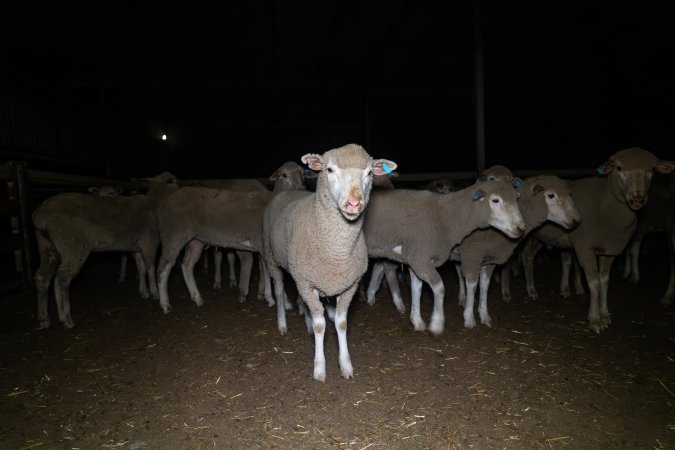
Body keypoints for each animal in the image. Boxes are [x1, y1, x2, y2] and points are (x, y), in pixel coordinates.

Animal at [32, 171, 178, 328]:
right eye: (173, 182)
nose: (180, 188)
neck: (155, 202)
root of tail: (40, 215)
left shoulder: (136, 247)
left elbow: (141, 268)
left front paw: (144, 291)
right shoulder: (149, 242)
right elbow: (150, 268)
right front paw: (155, 293)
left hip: (47, 247)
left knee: (42, 277)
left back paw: (44, 319)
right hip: (72, 245)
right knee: (62, 279)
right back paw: (66, 319)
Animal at [154, 162, 304, 312]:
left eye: (302, 173)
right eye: (284, 175)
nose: (301, 189)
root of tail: (163, 204)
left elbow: (265, 270)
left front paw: (269, 298)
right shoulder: (263, 245)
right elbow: (271, 272)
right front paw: (284, 302)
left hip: (195, 241)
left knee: (187, 266)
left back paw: (197, 298)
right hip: (173, 235)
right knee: (163, 268)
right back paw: (165, 304)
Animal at [260, 143, 396, 380]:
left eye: (370, 173)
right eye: (330, 170)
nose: (354, 203)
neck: (336, 252)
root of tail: (286, 192)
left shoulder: (349, 285)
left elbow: (341, 324)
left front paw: (346, 365)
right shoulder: (307, 283)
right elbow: (320, 326)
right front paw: (319, 368)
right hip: (273, 258)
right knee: (278, 288)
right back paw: (282, 324)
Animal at [454, 175, 580, 326]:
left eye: (569, 194)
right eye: (551, 195)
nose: (576, 220)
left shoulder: (489, 259)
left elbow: (484, 286)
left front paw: (484, 316)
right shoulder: (472, 256)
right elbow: (472, 286)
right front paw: (469, 319)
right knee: (459, 274)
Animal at [520, 146, 672, 332]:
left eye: (651, 171)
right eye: (619, 168)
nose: (638, 198)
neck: (603, 202)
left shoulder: (610, 249)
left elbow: (604, 281)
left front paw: (605, 314)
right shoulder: (584, 246)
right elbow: (593, 282)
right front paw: (595, 320)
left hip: (540, 236)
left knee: (528, 255)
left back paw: (532, 289)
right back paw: (529, 290)